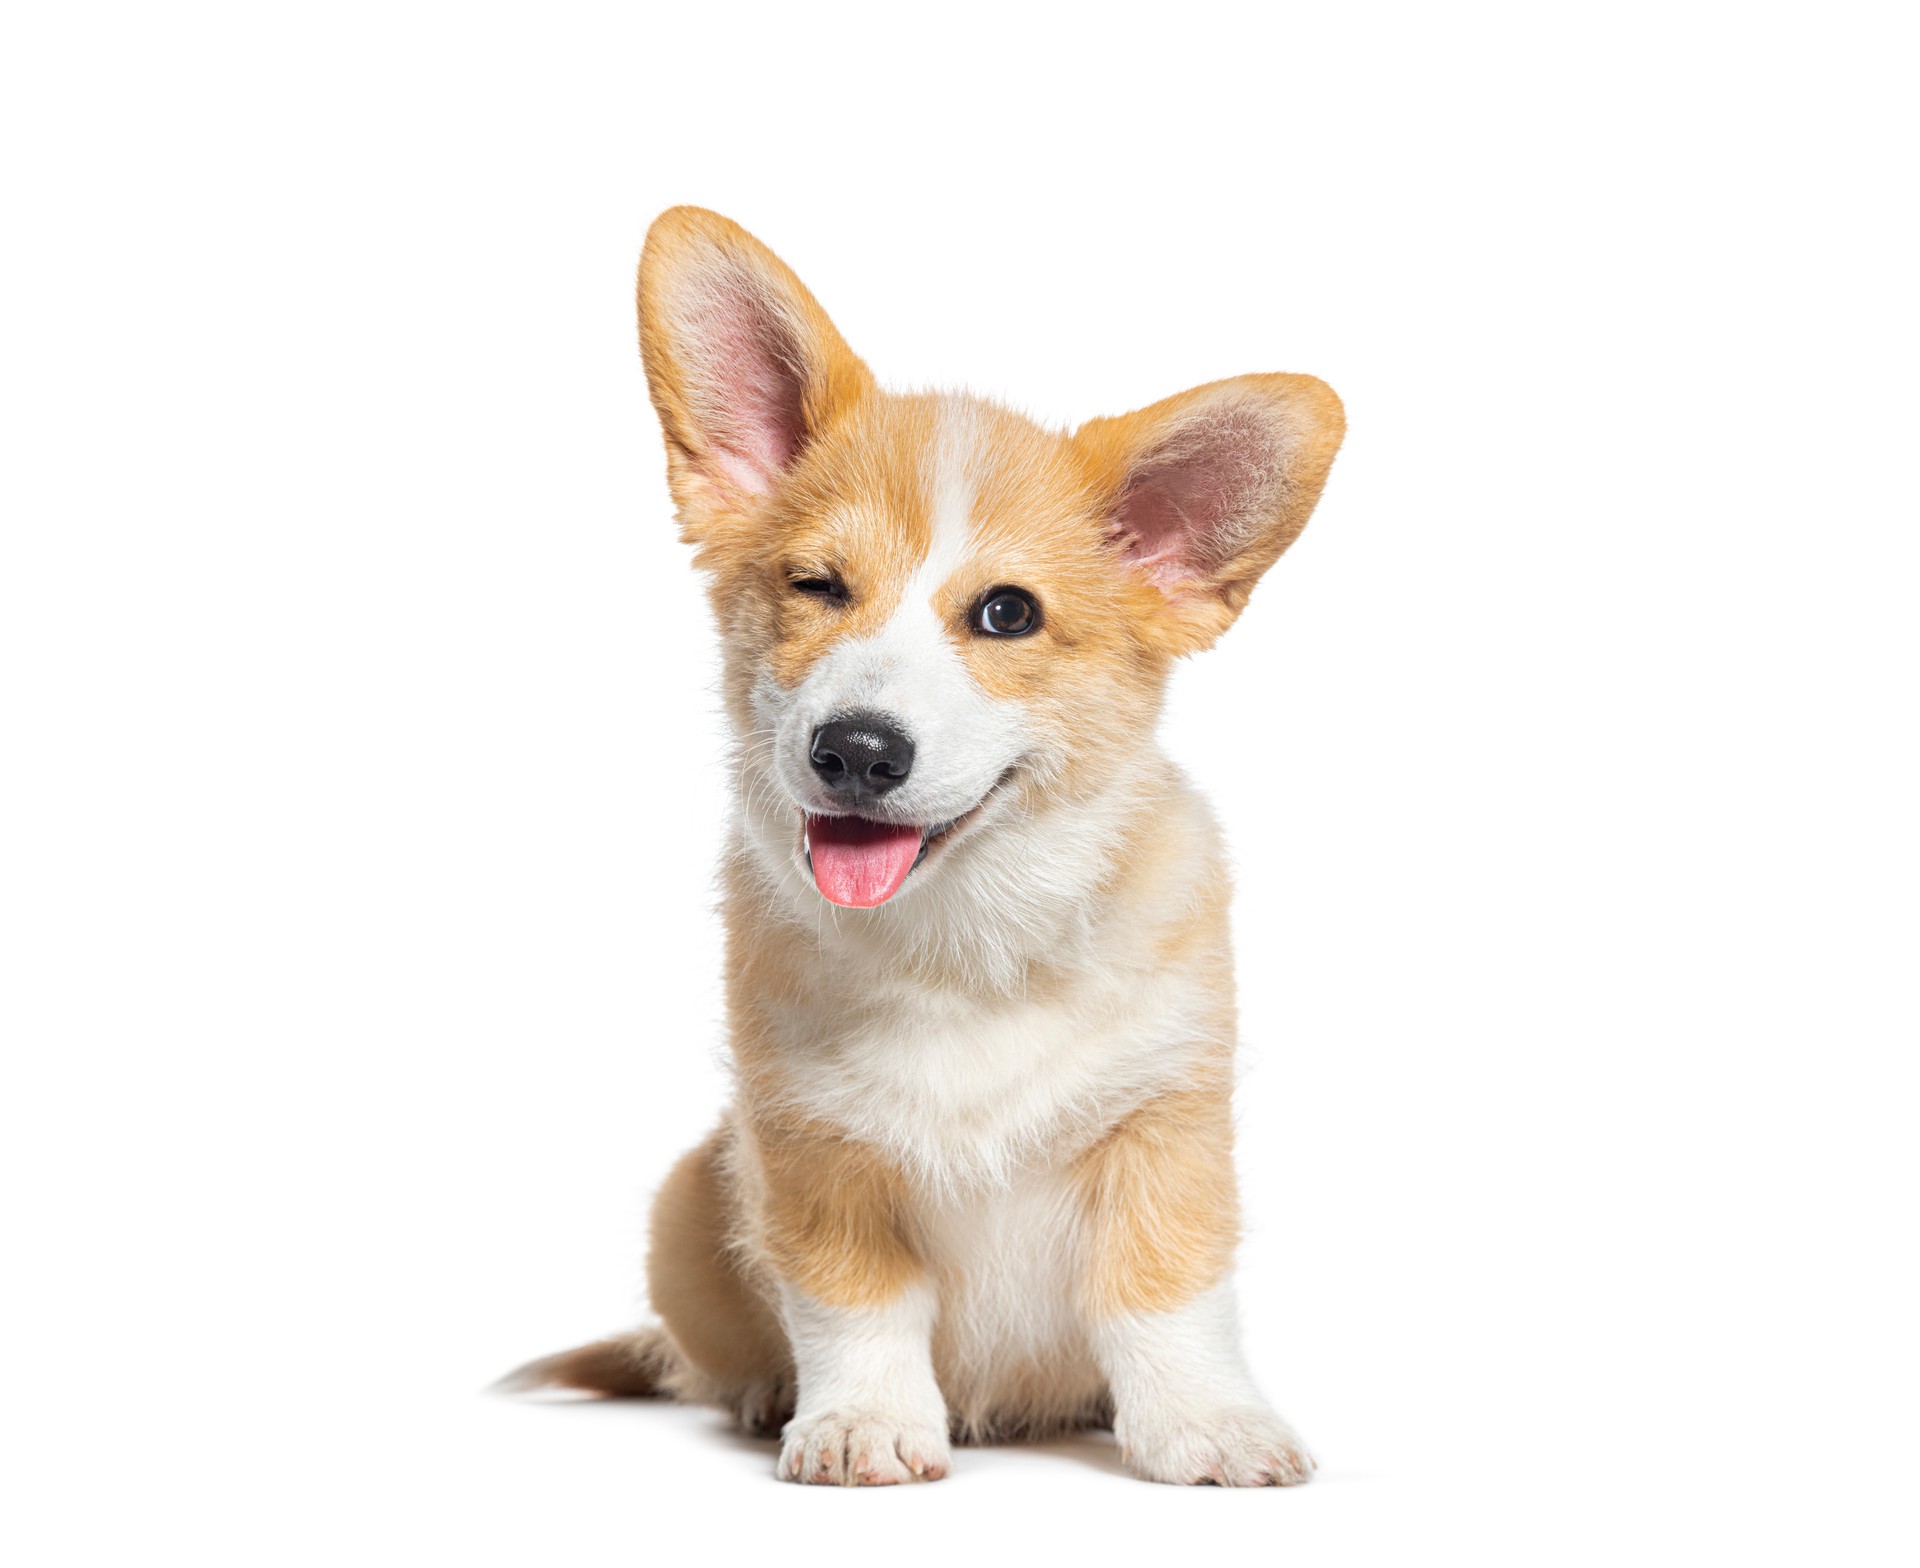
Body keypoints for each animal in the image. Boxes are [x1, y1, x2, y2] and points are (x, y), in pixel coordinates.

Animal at [510, 205, 1351, 1481]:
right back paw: (756, 1389)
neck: (966, 941)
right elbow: (854, 1301)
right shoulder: (812, 1145)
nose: (857, 749)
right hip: (686, 1201)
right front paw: (860, 1421)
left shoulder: (1165, 1118)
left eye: (1008, 612)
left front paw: (1208, 1424)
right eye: (817, 584)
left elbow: (1166, 1289)